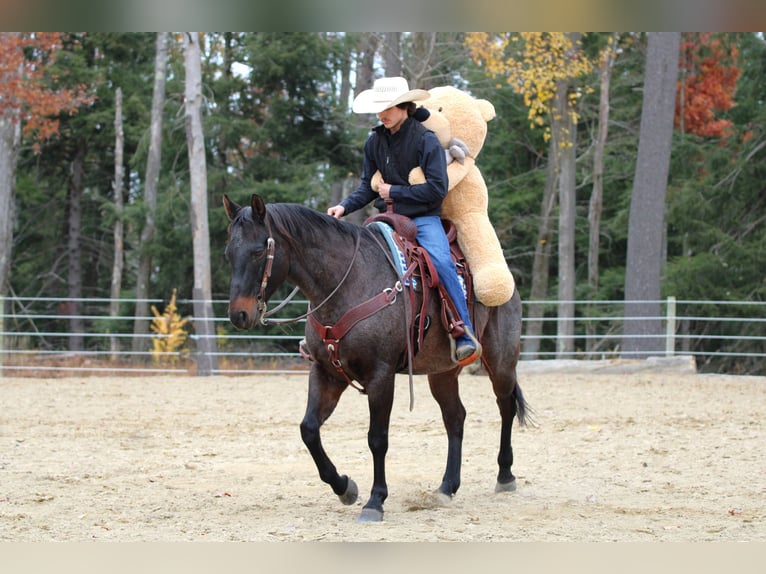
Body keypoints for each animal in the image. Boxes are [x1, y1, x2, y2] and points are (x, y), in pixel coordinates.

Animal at [223, 193, 528, 523]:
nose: (239, 315)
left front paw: (375, 501)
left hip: (501, 362)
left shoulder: (380, 376)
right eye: (229, 253)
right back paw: (447, 487)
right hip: (442, 372)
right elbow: (309, 430)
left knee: (505, 407)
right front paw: (344, 487)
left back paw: (505, 476)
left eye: (258, 252)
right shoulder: (326, 372)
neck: (347, 283)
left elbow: (377, 438)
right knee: (455, 417)